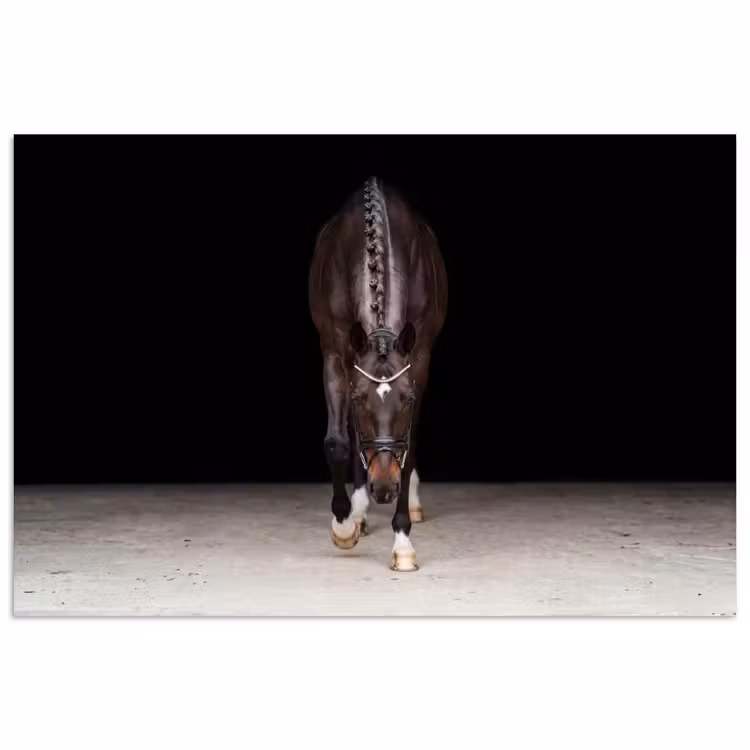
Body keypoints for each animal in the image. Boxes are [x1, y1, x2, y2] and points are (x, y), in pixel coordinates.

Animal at [309, 176, 448, 571]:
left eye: (408, 399)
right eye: (359, 399)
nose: (384, 488)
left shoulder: (419, 358)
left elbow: (409, 446)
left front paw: (402, 542)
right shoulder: (335, 353)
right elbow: (338, 441)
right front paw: (344, 525)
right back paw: (358, 512)